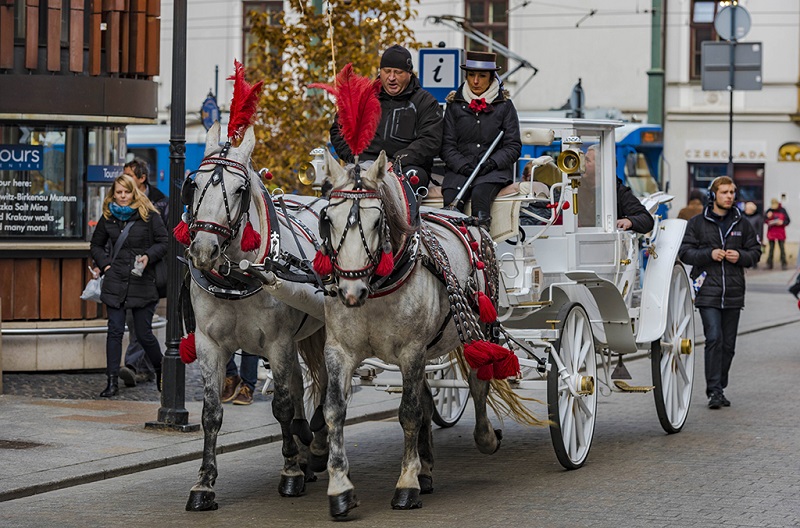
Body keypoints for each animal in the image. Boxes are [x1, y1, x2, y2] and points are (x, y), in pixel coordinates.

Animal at [184, 124, 328, 512]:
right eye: (193, 183)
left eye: (240, 189)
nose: (203, 250)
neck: (237, 277)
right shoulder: (209, 344)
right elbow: (211, 413)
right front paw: (204, 484)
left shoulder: (277, 343)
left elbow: (281, 406)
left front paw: (290, 472)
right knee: (299, 383)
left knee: (326, 383)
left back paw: (316, 445)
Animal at [320, 151, 544, 516]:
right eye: (328, 218)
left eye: (377, 220)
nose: (351, 292)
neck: (378, 286)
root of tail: (460, 213)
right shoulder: (339, 351)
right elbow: (335, 411)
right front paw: (340, 488)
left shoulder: (411, 350)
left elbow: (409, 413)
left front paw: (406, 484)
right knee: (428, 398)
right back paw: (425, 467)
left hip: (480, 326)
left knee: (478, 382)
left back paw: (485, 439)